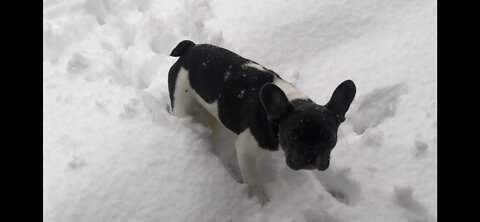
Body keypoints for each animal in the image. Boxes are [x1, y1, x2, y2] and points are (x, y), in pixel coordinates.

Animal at [167, 40, 354, 205]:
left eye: (330, 137)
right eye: (292, 135)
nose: (311, 153)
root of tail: (190, 48)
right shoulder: (245, 149)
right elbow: (252, 179)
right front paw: (260, 200)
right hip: (181, 100)